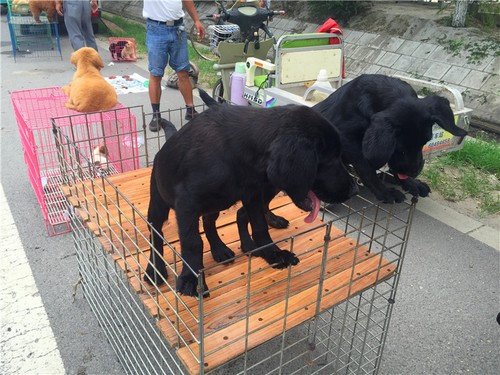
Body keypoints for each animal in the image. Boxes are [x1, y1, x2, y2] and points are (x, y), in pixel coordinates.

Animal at [314, 73, 466, 203]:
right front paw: (385, 192)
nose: (413, 172)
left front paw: (411, 183)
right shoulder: (347, 139)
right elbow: (367, 168)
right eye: (401, 148)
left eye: (424, 143)